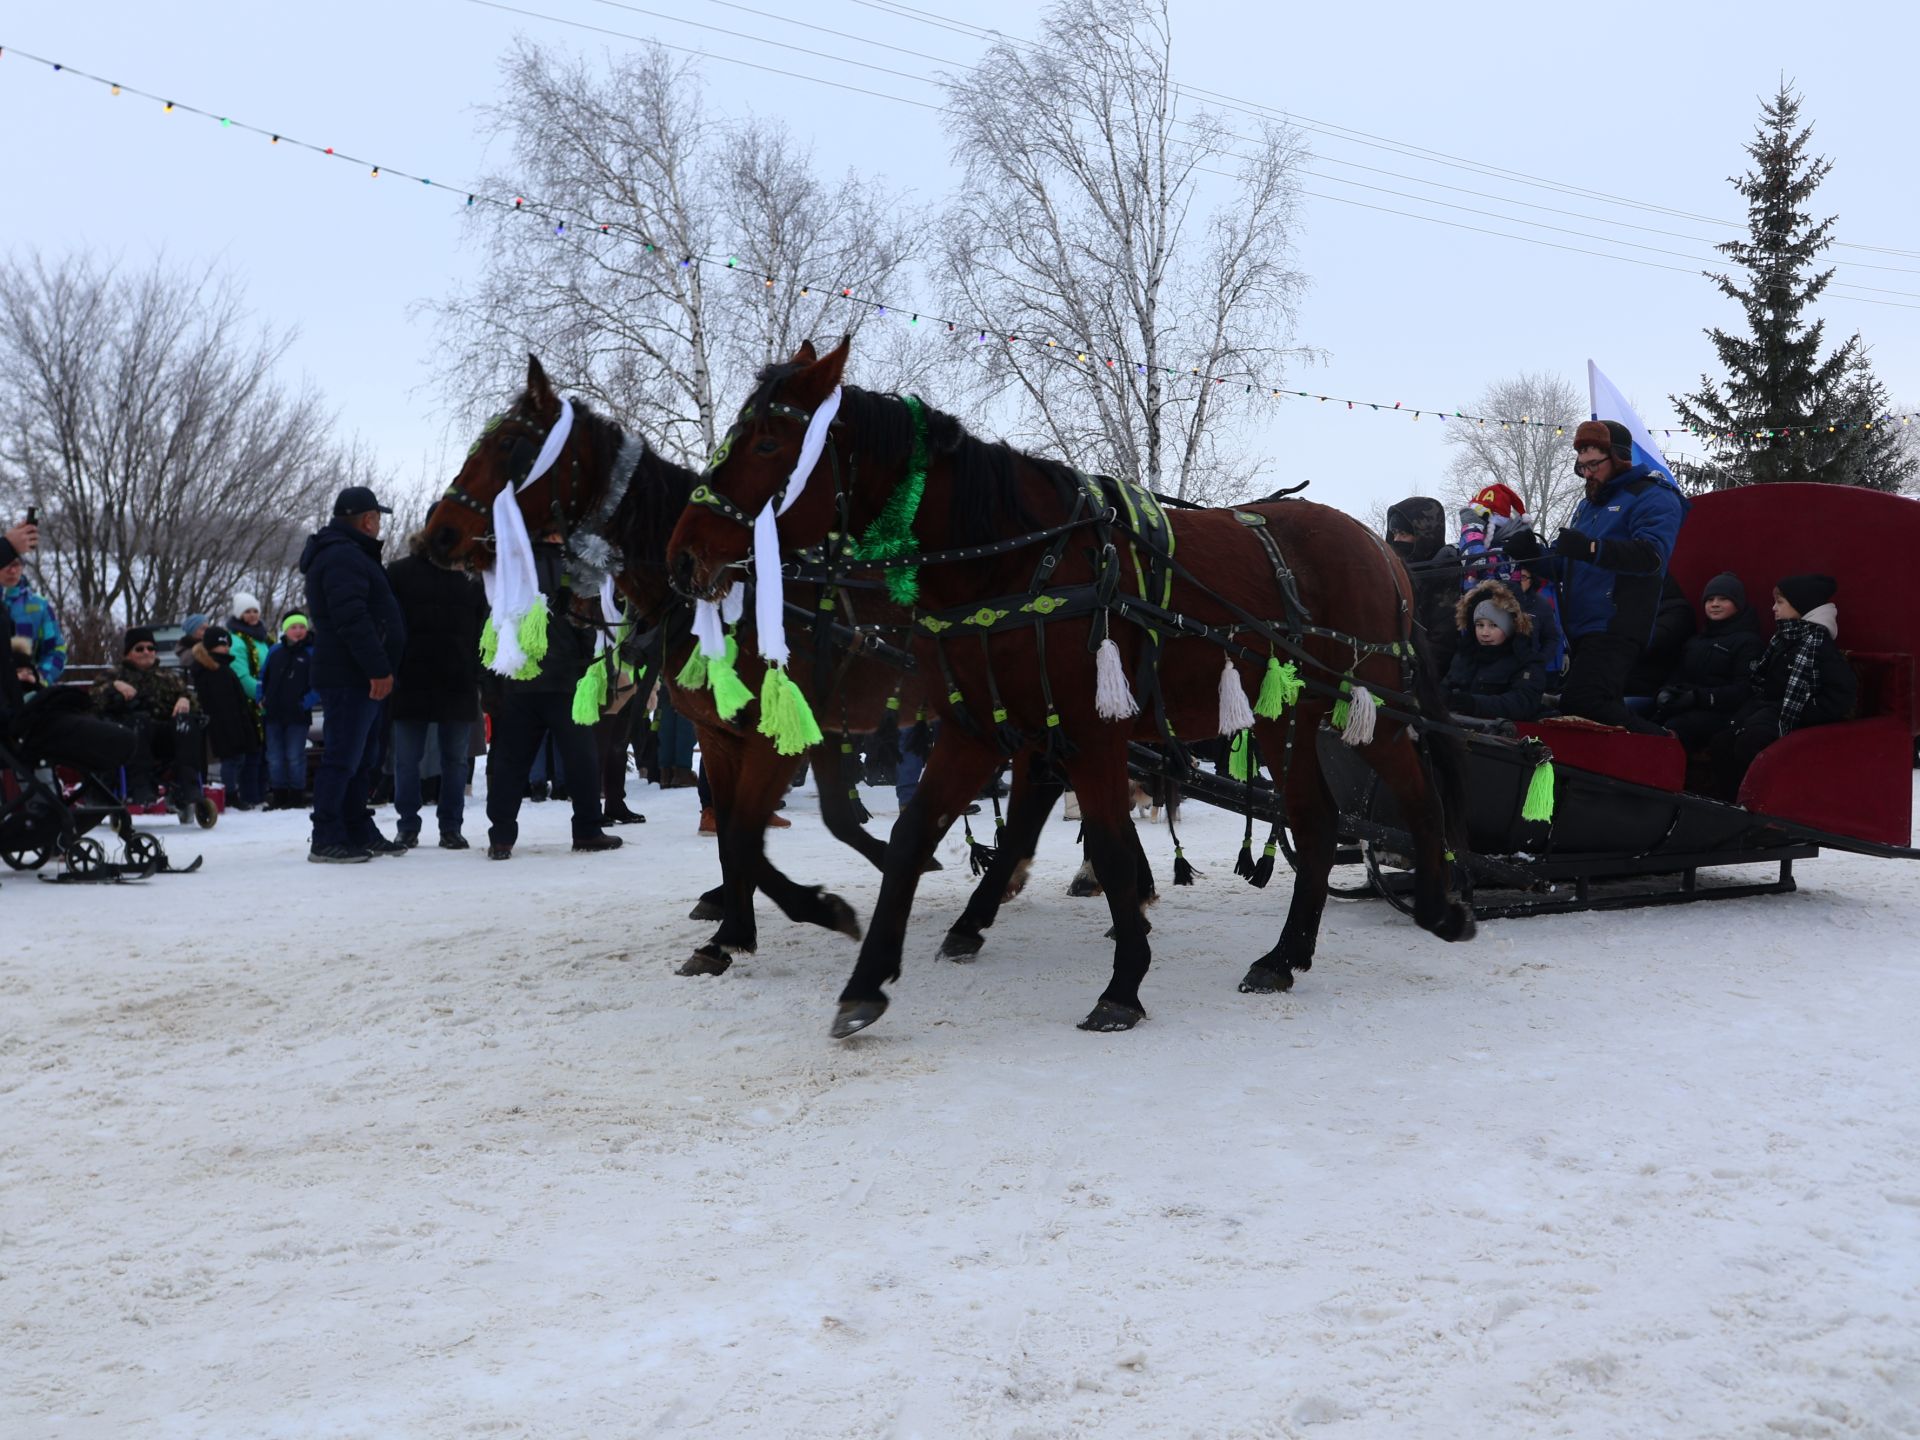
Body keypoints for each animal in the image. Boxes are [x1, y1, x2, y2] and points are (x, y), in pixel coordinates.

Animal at [668, 337, 1474, 1036]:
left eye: (767, 444)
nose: (685, 551)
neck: (1016, 562)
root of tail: (1378, 550)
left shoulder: (1092, 732)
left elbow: (1112, 848)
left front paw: (1124, 982)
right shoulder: (977, 729)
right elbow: (908, 836)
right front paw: (865, 980)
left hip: (1363, 703)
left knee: (1415, 787)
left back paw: (1440, 905)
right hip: (1284, 715)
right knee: (1316, 819)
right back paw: (1286, 955)